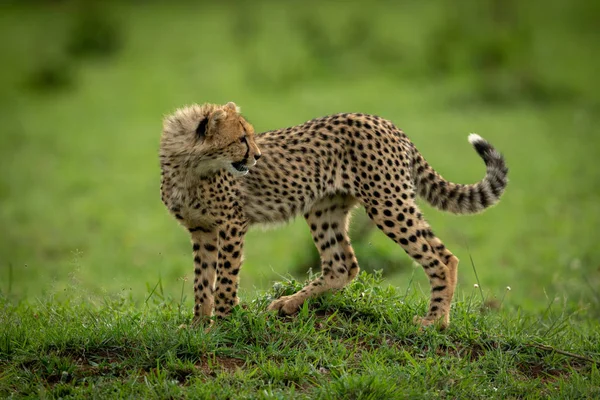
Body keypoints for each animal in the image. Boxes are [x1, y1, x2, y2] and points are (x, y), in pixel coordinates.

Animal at [159, 101, 506, 330]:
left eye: (251, 136)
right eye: (241, 139)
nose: (257, 156)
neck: (189, 167)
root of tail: (385, 122)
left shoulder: (232, 223)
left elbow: (225, 276)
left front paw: (225, 320)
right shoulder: (201, 229)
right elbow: (202, 279)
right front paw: (198, 324)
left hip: (387, 202)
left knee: (441, 257)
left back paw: (434, 320)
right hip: (324, 207)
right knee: (344, 265)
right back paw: (289, 303)